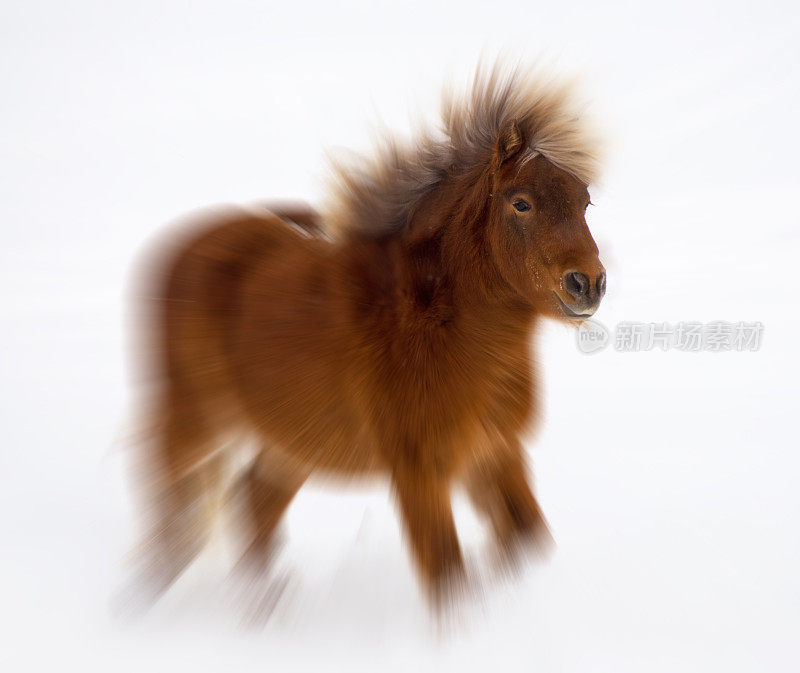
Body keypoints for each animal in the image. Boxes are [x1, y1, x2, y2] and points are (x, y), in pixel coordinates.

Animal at [133, 64, 608, 608]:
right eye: (521, 203)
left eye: (585, 201)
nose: (588, 284)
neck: (438, 326)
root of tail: (184, 248)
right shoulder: (420, 470)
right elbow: (447, 572)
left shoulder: (494, 451)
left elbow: (528, 540)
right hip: (196, 418)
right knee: (170, 504)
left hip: (291, 441)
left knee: (252, 500)